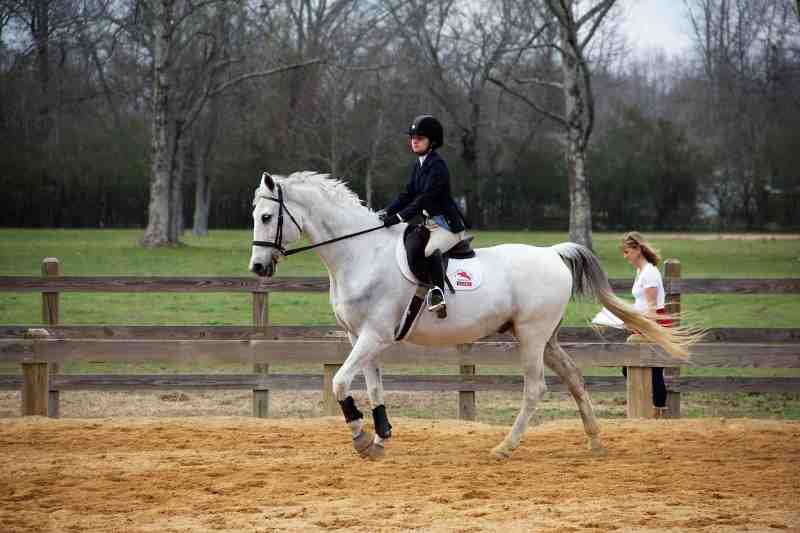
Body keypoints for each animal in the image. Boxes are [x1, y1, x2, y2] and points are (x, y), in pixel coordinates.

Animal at [250, 170, 692, 458]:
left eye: (267, 217)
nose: (257, 268)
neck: (360, 253)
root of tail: (553, 253)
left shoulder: (374, 335)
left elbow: (341, 381)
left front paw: (360, 437)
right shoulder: (361, 337)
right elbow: (373, 386)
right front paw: (380, 437)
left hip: (531, 337)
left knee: (535, 389)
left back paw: (504, 448)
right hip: (545, 338)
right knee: (574, 378)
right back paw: (596, 443)